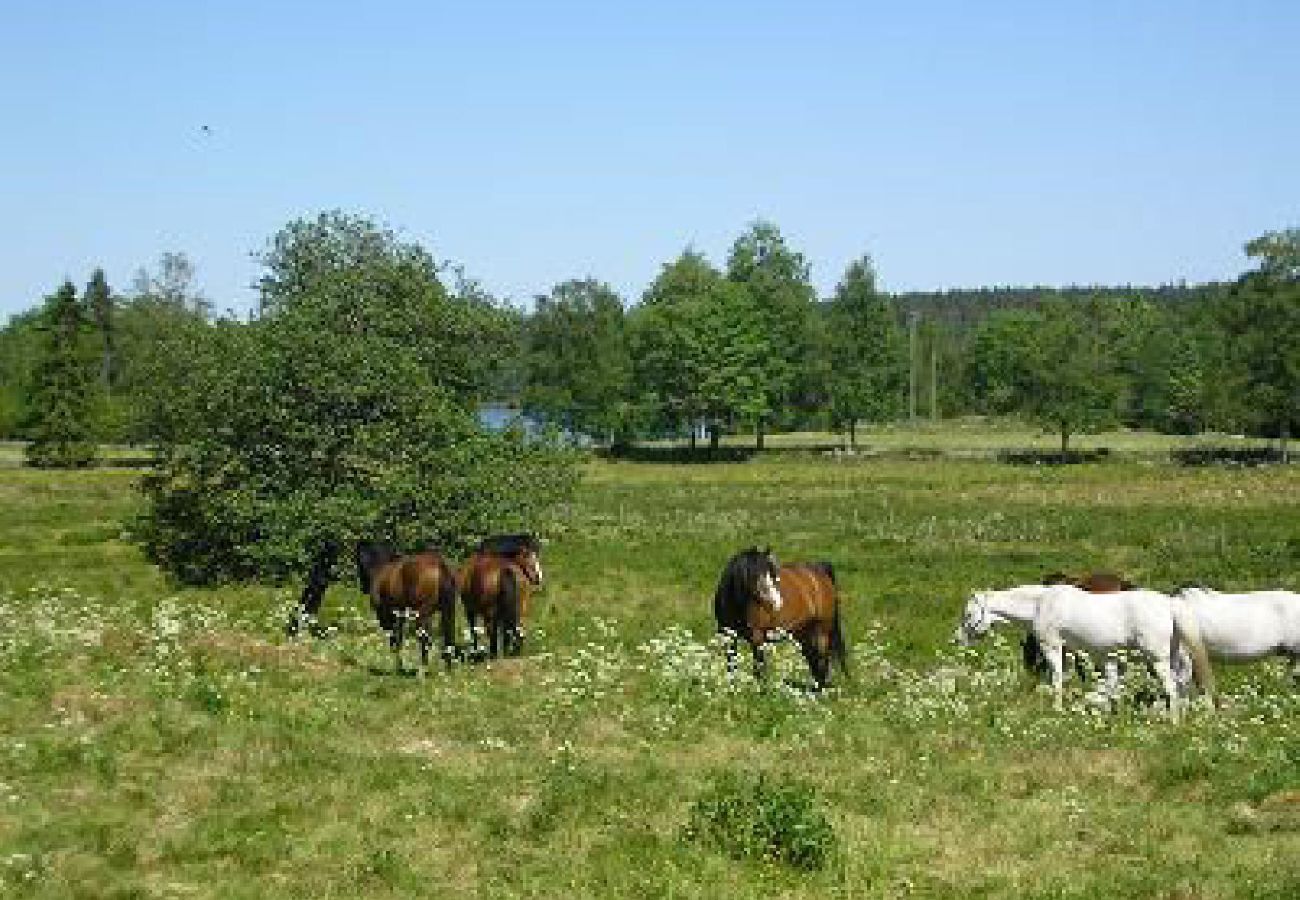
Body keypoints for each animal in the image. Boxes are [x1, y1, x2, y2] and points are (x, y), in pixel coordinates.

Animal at [353, 541, 460, 676]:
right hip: (448, 611)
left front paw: (398, 667)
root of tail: (440, 566)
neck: (380, 567)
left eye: (358, 559)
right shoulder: (401, 614)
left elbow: (394, 638)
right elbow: (399, 638)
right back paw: (448, 669)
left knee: (425, 639)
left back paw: (422, 670)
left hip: (422, 614)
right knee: (448, 638)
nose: (363, 587)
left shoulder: (386, 615)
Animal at [457, 530, 543, 658]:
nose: (538, 577)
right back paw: (512, 651)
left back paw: (494, 654)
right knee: (516, 629)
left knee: (491, 632)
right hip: (521, 607)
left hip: (488, 612)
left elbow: (475, 631)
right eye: (526, 554)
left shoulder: (470, 610)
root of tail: (505, 570)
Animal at [712, 548, 852, 686]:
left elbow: (759, 667)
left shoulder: (757, 637)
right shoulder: (728, 636)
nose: (778, 603)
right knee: (814, 660)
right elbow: (731, 665)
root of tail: (820, 571)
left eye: (773, 577)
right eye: (758, 577)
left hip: (821, 632)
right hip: (803, 633)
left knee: (822, 661)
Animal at [951, 582, 1211, 723]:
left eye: (968, 614)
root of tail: (1169, 604)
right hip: (1174, 657)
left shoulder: (1053, 646)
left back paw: (1172, 721)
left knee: (1172, 688)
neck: (1041, 604)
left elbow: (1057, 678)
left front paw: (1057, 708)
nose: (957, 639)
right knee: (1181, 684)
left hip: (1157, 659)